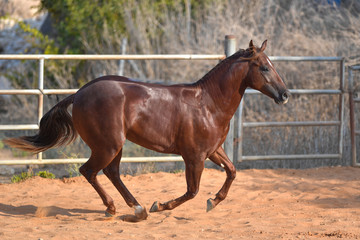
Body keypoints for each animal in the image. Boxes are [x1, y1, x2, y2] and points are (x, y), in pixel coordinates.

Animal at [3, 40, 290, 220]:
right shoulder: (194, 156)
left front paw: (214, 201)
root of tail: (79, 93)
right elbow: (192, 191)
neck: (208, 103)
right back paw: (118, 208)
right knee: (89, 171)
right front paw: (161, 205)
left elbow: (232, 172)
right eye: (264, 67)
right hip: (107, 145)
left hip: (113, 146)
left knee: (111, 172)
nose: (285, 95)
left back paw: (136, 208)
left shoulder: (213, 150)